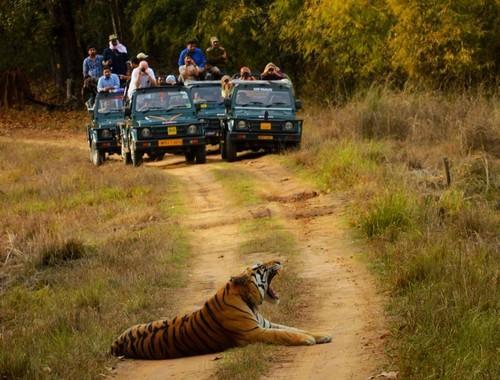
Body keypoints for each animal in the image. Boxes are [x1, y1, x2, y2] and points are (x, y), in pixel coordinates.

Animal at [111, 260, 330, 358]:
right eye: (260, 267)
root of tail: (115, 345)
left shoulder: (266, 324)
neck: (247, 300)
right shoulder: (253, 333)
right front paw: (308, 339)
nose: (278, 260)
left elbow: (293, 328)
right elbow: (285, 334)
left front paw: (321, 335)